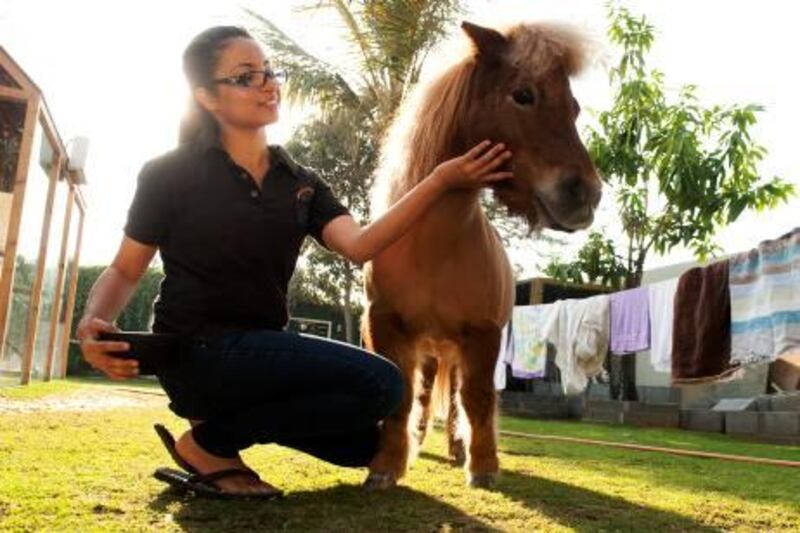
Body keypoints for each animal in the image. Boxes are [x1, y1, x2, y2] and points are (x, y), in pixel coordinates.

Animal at [360, 20, 600, 488]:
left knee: (456, 400)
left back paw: (457, 449)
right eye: (523, 94)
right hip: (431, 348)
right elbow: (403, 396)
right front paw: (386, 466)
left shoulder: (483, 335)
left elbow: (477, 400)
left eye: (575, 107)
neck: (433, 250)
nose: (585, 194)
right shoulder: (387, 326)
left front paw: (484, 466)